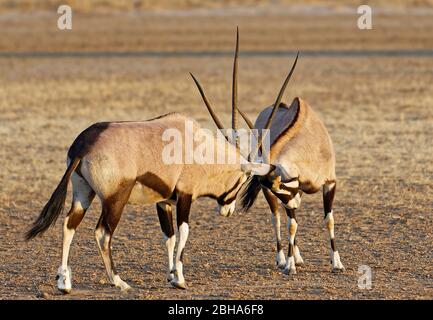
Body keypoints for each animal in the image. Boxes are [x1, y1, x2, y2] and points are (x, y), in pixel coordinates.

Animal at [193, 28, 344, 276]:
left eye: (278, 182)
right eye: (270, 184)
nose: (225, 210)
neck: (309, 144)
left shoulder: (328, 183)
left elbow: (328, 220)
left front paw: (337, 263)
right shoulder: (287, 190)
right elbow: (291, 224)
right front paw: (290, 265)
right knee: (278, 219)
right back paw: (285, 258)